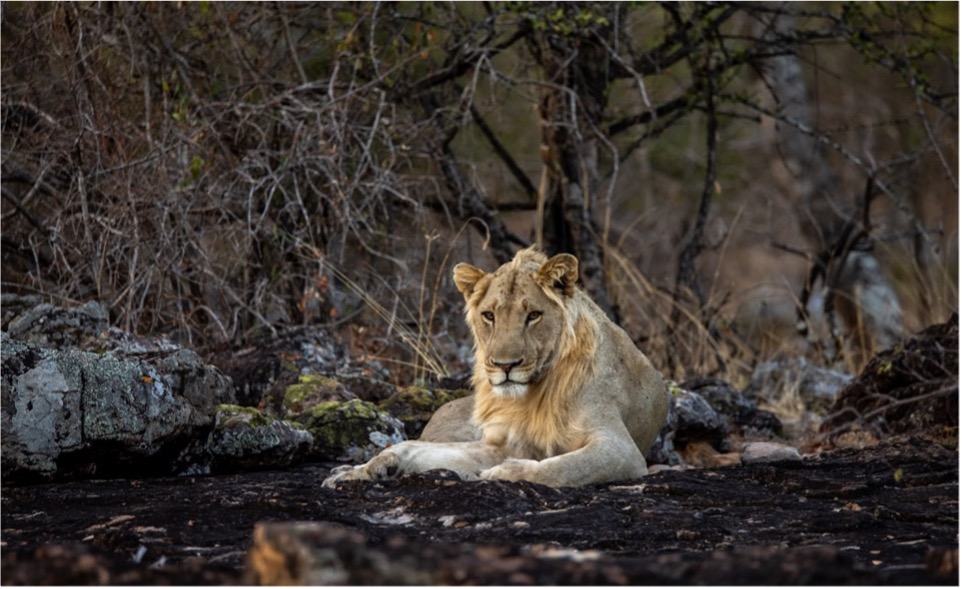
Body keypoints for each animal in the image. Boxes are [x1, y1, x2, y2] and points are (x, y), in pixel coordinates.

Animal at [322, 247, 669, 488]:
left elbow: (564, 468)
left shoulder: (621, 448)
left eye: (533, 315)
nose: (505, 365)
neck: (533, 396)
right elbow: (414, 448)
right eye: (489, 315)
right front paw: (369, 468)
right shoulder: (501, 443)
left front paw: (503, 472)